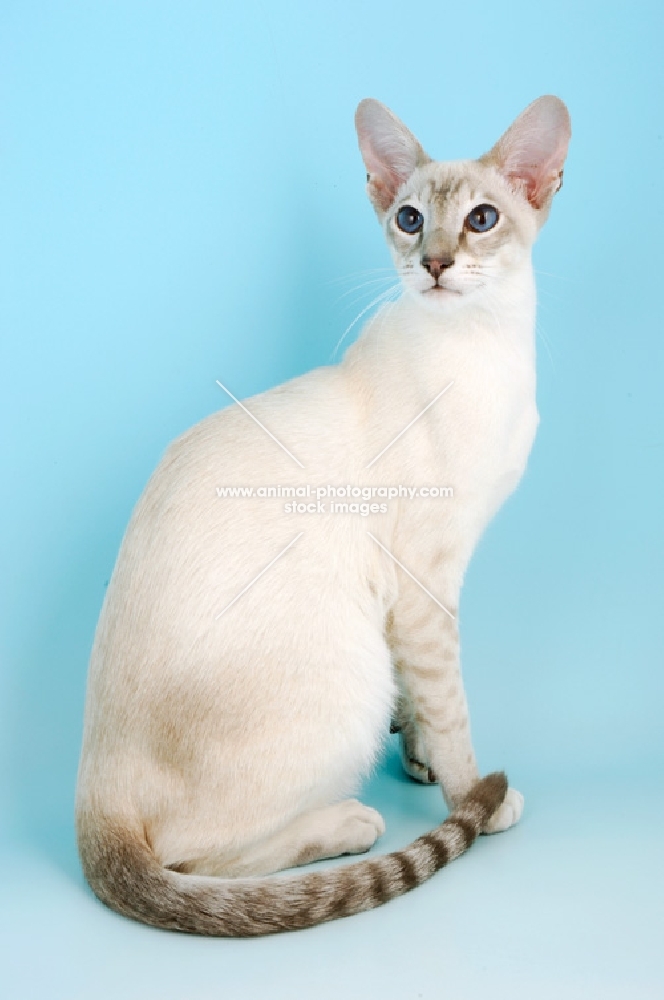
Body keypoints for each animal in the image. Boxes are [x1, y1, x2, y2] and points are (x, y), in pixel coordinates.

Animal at [74, 92, 572, 928]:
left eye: (480, 220)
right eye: (410, 220)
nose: (435, 263)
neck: (486, 348)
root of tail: (90, 799)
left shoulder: (417, 597)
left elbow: (424, 699)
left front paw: (419, 759)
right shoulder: (426, 581)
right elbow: (452, 706)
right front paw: (471, 793)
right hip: (350, 673)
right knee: (197, 857)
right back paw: (346, 823)